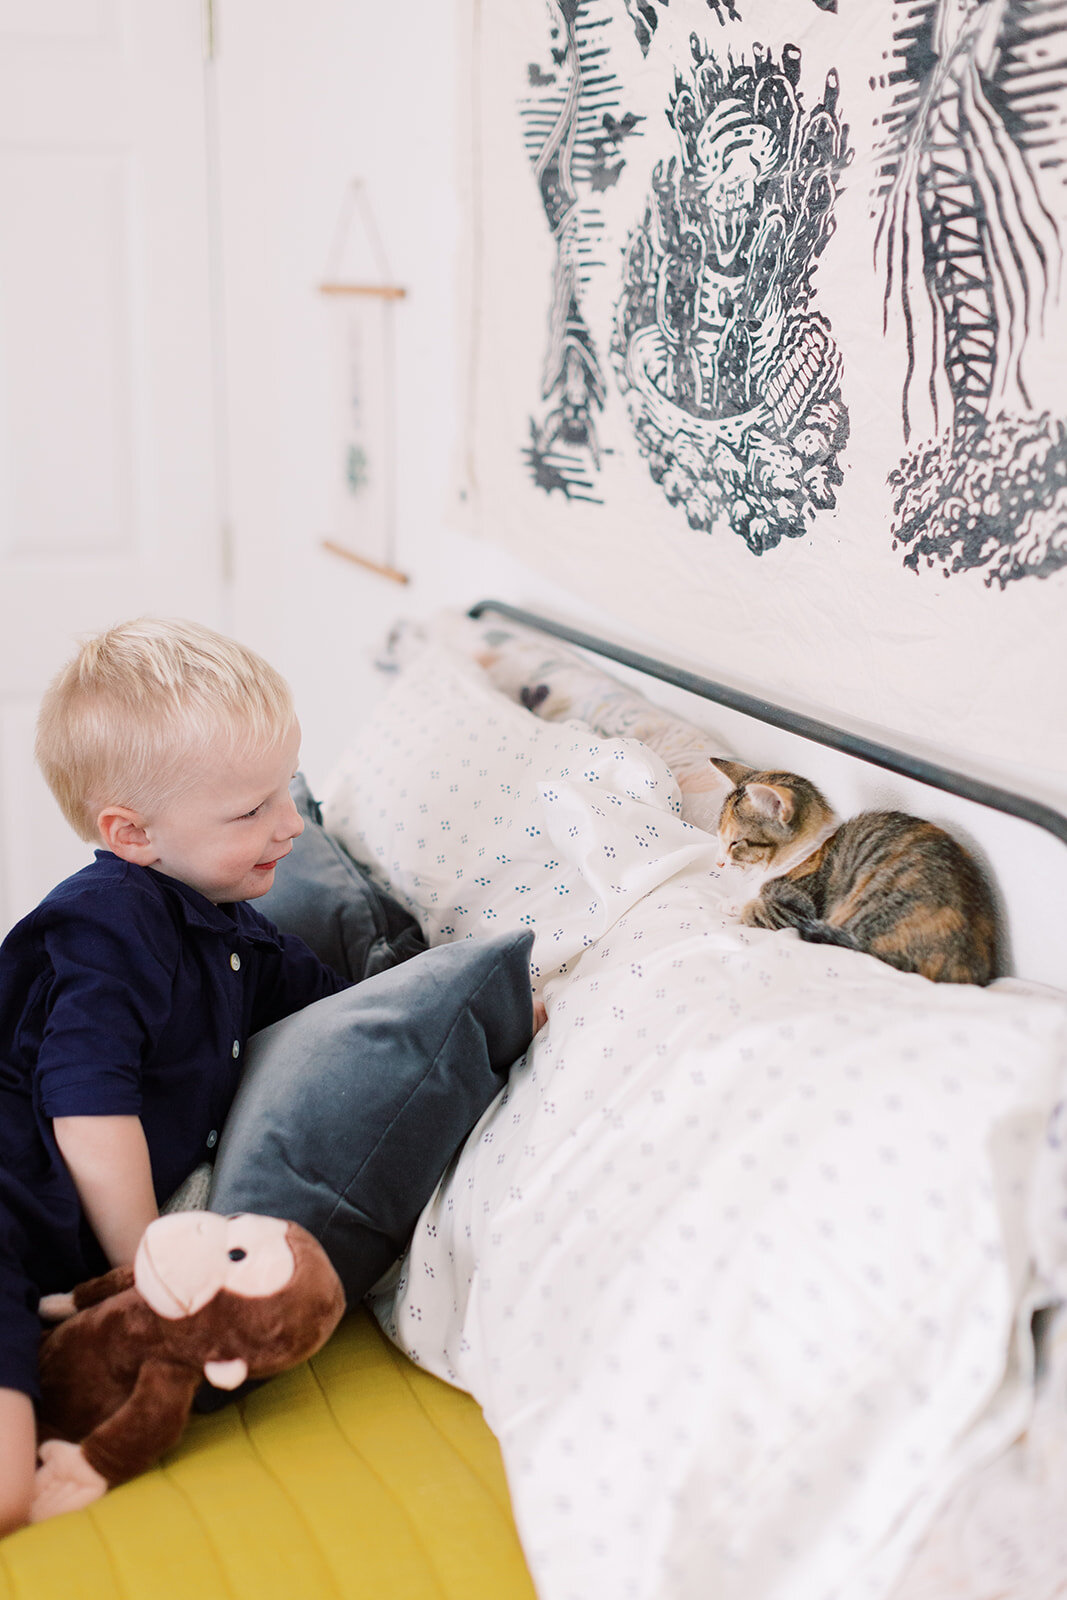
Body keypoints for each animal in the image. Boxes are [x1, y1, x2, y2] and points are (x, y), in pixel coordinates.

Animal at [711, 758, 999, 986]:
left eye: (735, 843)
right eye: (719, 837)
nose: (719, 863)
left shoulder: (797, 909)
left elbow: (755, 908)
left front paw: (733, 904)